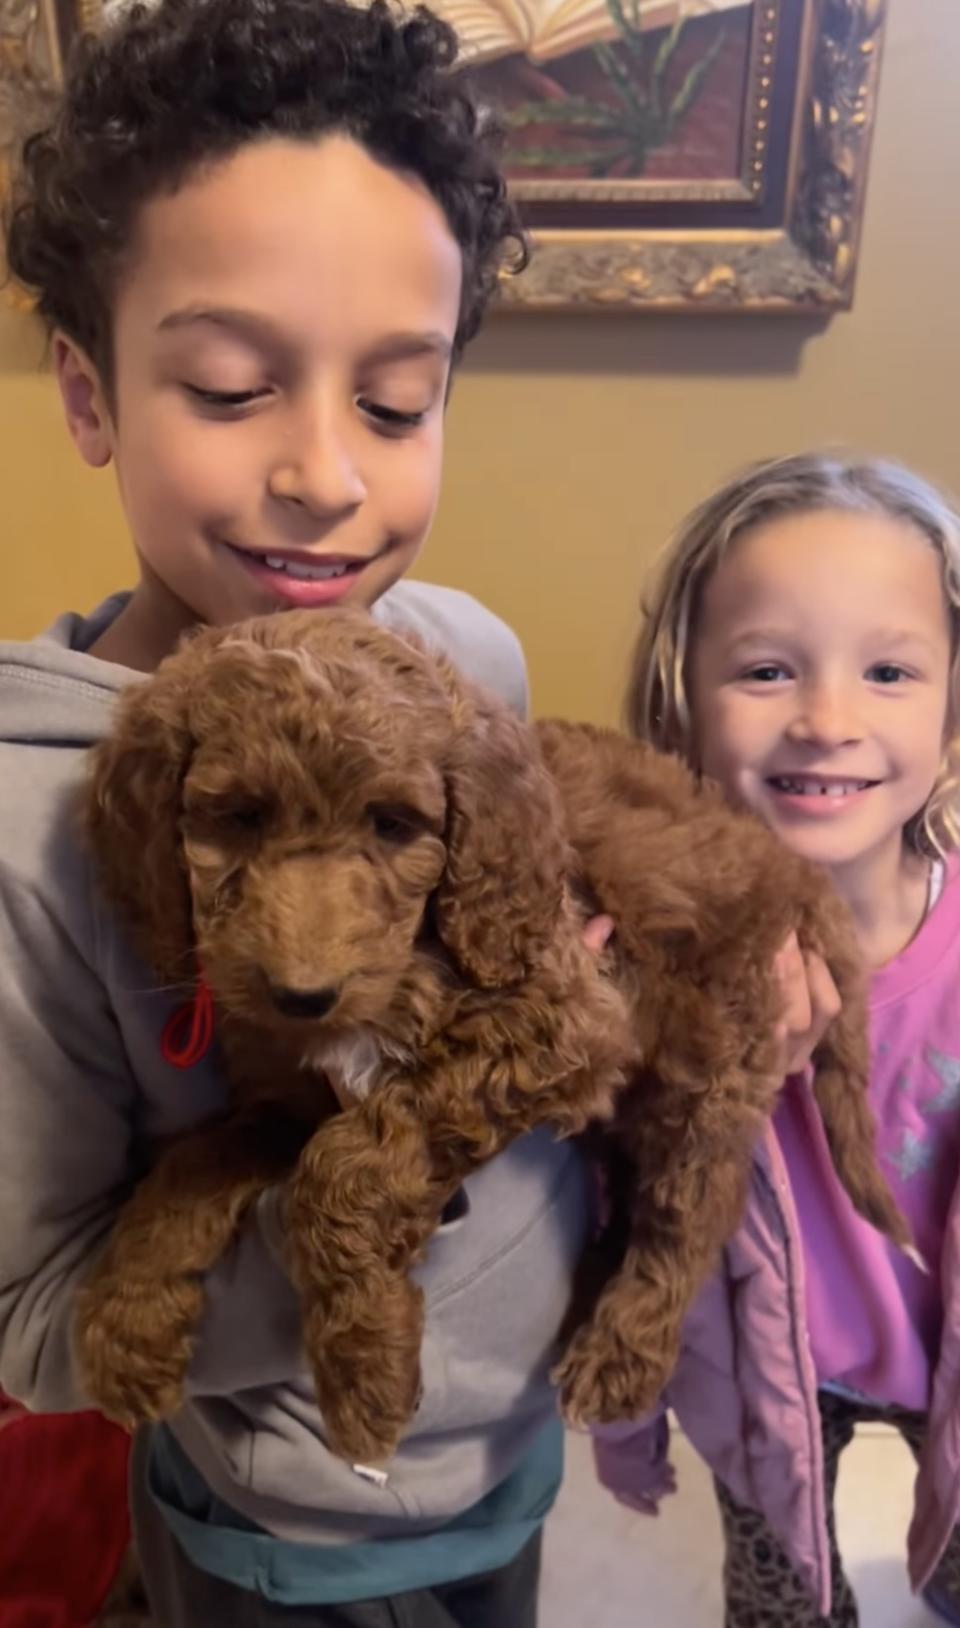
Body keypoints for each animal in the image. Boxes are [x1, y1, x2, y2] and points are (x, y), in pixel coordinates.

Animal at [75, 608, 631, 1465]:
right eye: (239, 817)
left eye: (394, 824)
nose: (302, 997)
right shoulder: (286, 1098)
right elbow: (193, 1166)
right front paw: (127, 1323)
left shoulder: (564, 1019)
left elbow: (348, 1160)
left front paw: (367, 1369)